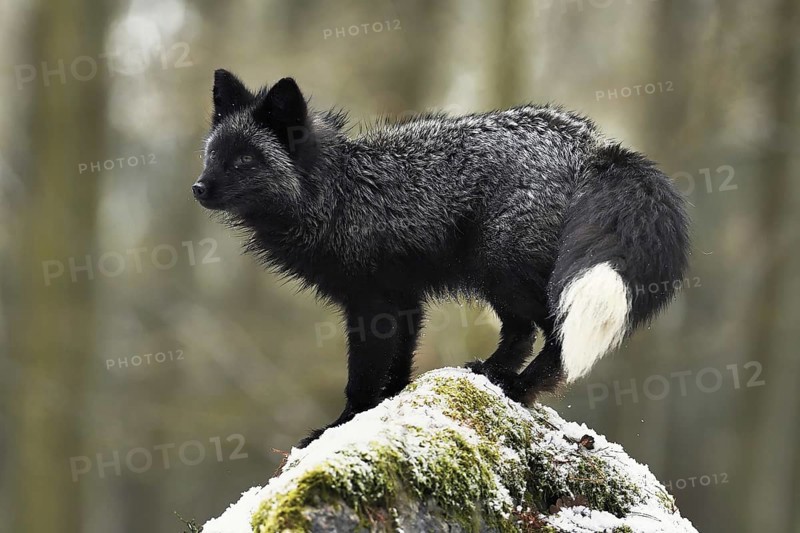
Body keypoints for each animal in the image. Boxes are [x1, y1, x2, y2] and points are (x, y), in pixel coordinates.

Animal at [193, 69, 689, 448]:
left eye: (245, 161)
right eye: (213, 155)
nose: (198, 189)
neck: (335, 194)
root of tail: (593, 145)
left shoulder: (370, 303)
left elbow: (360, 377)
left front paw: (340, 428)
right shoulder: (403, 299)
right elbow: (397, 366)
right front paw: (389, 404)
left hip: (505, 272)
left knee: (549, 339)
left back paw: (518, 387)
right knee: (522, 335)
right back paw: (491, 374)